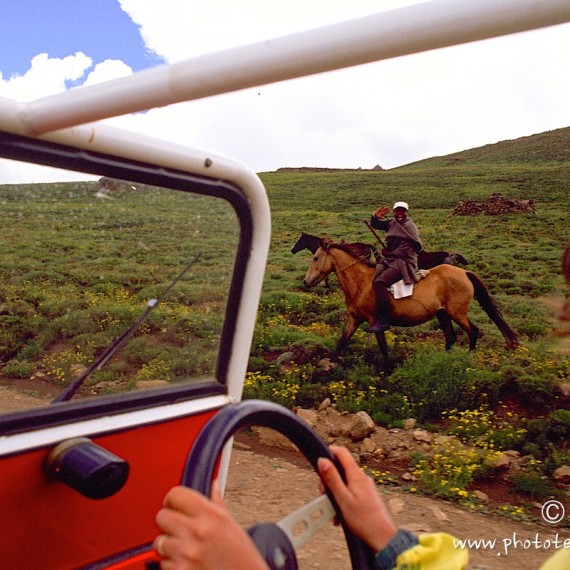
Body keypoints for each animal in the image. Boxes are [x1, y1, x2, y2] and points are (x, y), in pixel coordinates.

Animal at [304, 239, 516, 364]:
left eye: (315, 257)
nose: (306, 281)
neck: (361, 282)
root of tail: (464, 272)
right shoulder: (354, 319)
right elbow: (341, 343)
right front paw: (328, 368)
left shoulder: (375, 322)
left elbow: (383, 349)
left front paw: (387, 373)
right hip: (442, 314)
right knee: (451, 337)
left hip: (457, 313)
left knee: (473, 331)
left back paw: (466, 359)